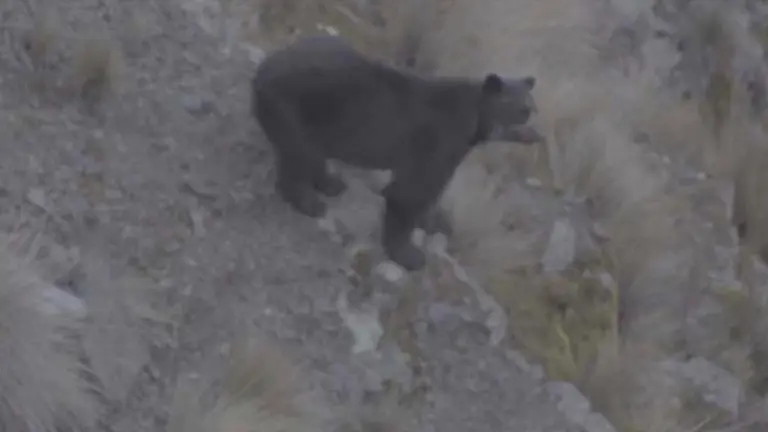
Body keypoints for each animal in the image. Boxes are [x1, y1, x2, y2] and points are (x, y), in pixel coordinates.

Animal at [251, 34, 542, 271]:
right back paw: (310, 201)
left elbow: (430, 192)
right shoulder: (438, 142)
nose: (538, 133)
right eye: (521, 110)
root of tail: (263, 69)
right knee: (298, 156)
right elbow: (409, 194)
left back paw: (331, 183)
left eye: (533, 106)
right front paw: (410, 255)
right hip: (293, 109)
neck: (472, 127)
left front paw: (437, 222)